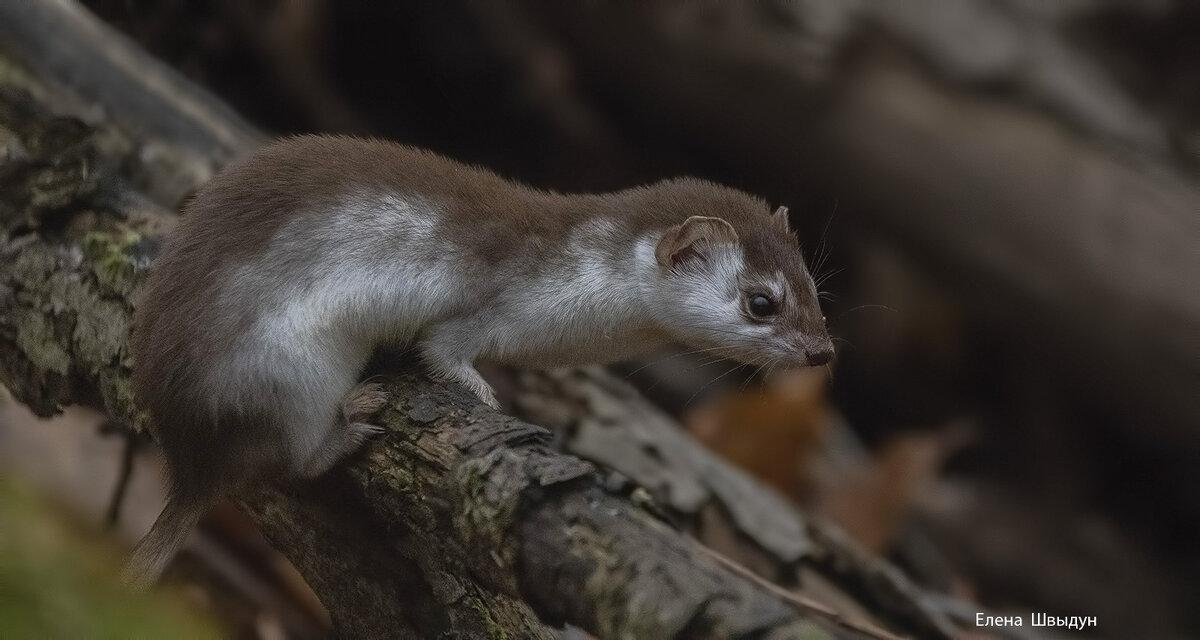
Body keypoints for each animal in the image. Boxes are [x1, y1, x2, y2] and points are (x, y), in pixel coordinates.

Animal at [124, 134, 835, 583]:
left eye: (814, 288)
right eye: (761, 302)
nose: (823, 351)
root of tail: (189, 460)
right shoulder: (483, 312)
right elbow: (444, 351)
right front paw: (486, 394)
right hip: (286, 367)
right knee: (292, 457)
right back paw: (355, 414)